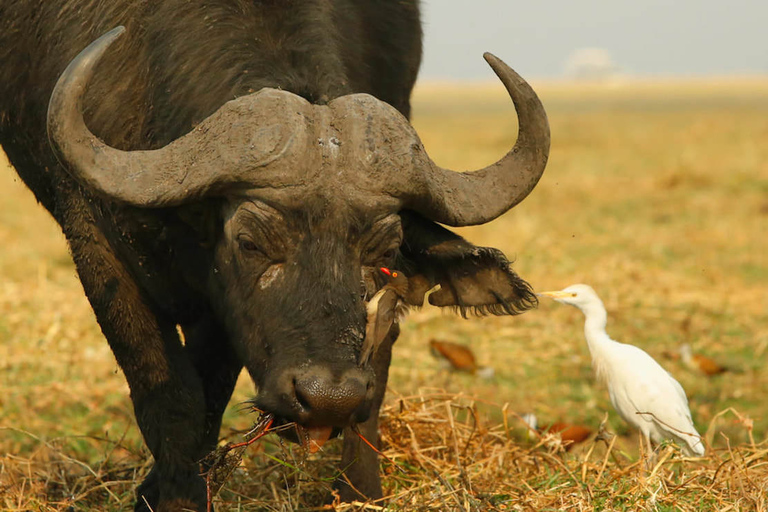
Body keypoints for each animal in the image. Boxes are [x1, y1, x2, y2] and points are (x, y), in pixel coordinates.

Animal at [0, 2, 552, 510]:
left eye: (385, 249)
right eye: (250, 242)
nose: (329, 399)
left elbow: (215, 387)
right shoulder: (94, 238)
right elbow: (172, 394)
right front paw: (174, 496)